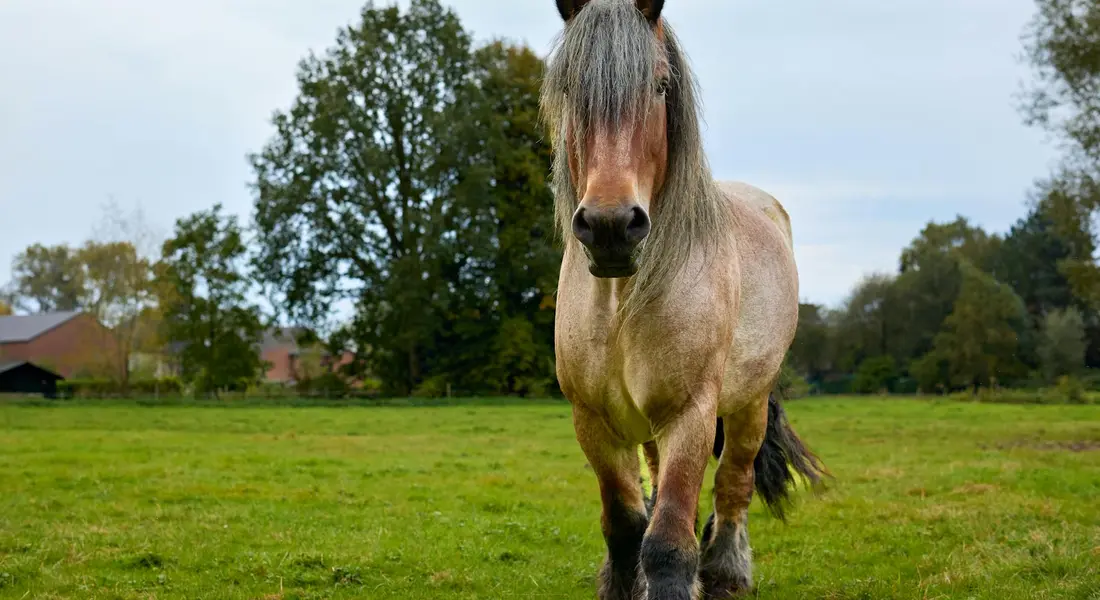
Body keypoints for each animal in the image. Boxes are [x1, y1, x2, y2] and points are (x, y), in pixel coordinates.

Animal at [540, 1, 829, 598]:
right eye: (571, 87)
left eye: (659, 85)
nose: (610, 226)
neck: (620, 303)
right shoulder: (593, 422)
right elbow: (627, 529)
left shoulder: (690, 415)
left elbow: (668, 544)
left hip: (746, 406)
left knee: (734, 483)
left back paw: (726, 570)